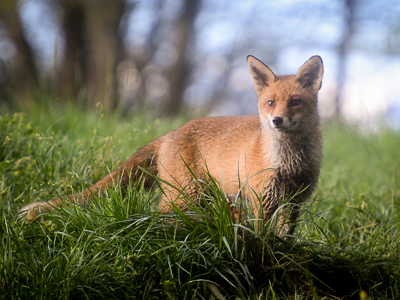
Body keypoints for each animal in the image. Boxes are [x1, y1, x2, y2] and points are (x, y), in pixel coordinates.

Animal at [20, 54, 324, 232]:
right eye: (270, 103)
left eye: (295, 102)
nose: (277, 120)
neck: (289, 163)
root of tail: (169, 133)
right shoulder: (262, 198)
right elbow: (261, 239)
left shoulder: (294, 202)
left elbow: (285, 239)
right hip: (184, 194)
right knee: (163, 215)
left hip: (204, 197)